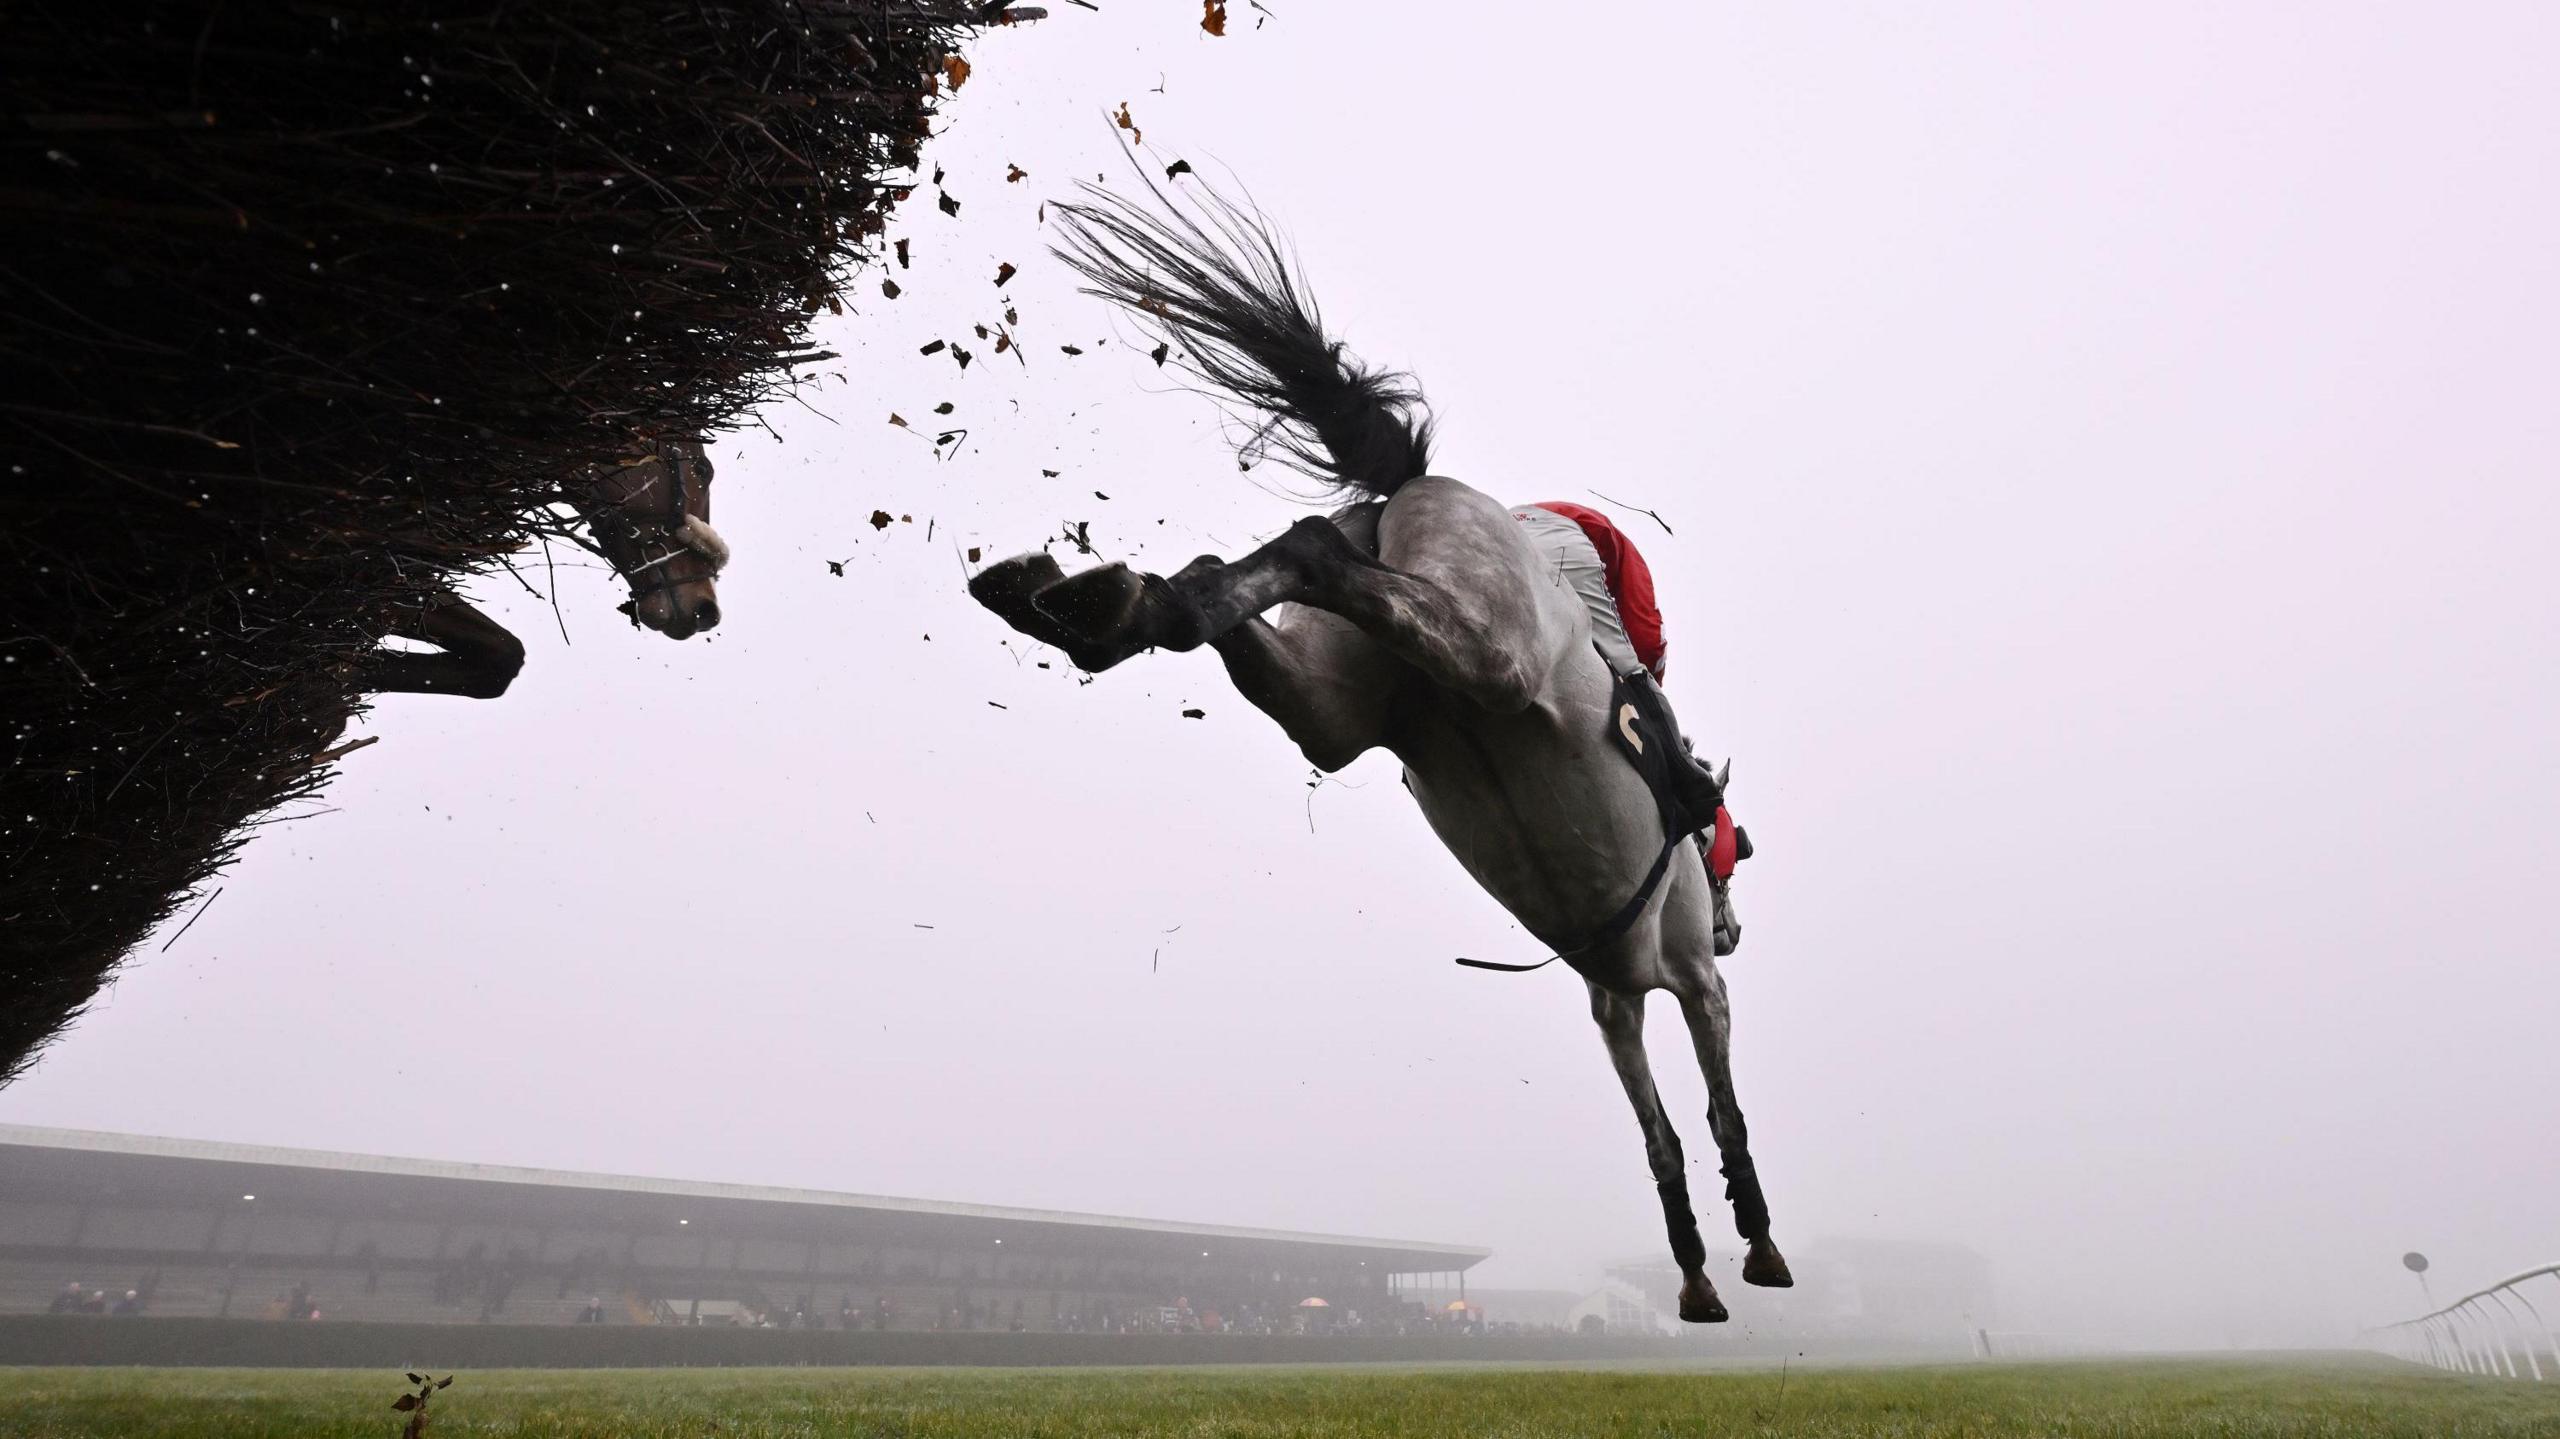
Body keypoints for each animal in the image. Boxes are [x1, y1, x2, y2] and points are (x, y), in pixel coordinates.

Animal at [967, 174, 1792, 1321]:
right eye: (1736, 856)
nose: (1734, 928)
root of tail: (1418, 485)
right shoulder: (1676, 985)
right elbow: (1713, 1111)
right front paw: (1750, 1241)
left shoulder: (1613, 999)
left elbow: (1662, 1132)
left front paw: (1698, 1264)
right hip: (1487, 652)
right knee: (1316, 549)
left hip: (1339, 709)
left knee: (1241, 581)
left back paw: (1101, 604)